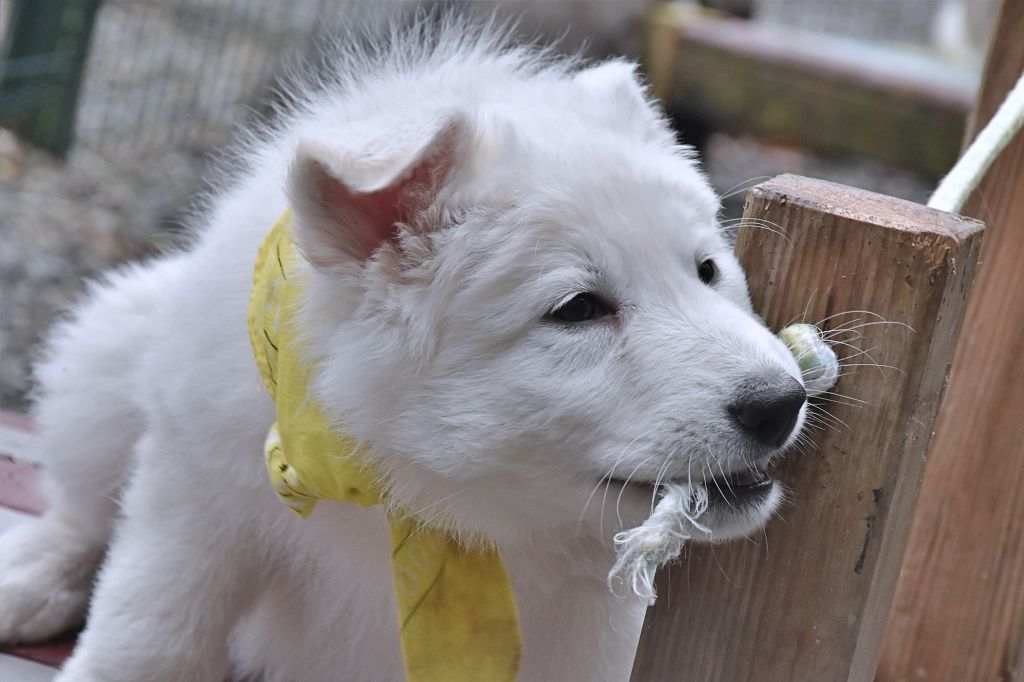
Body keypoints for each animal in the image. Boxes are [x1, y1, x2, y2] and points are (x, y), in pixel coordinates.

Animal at [0, 17, 806, 681]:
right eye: (578, 310)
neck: (422, 494)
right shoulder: (198, 493)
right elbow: (149, 627)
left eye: (707, 271)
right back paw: (32, 575)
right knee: (83, 508)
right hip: (111, 348)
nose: (784, 402)